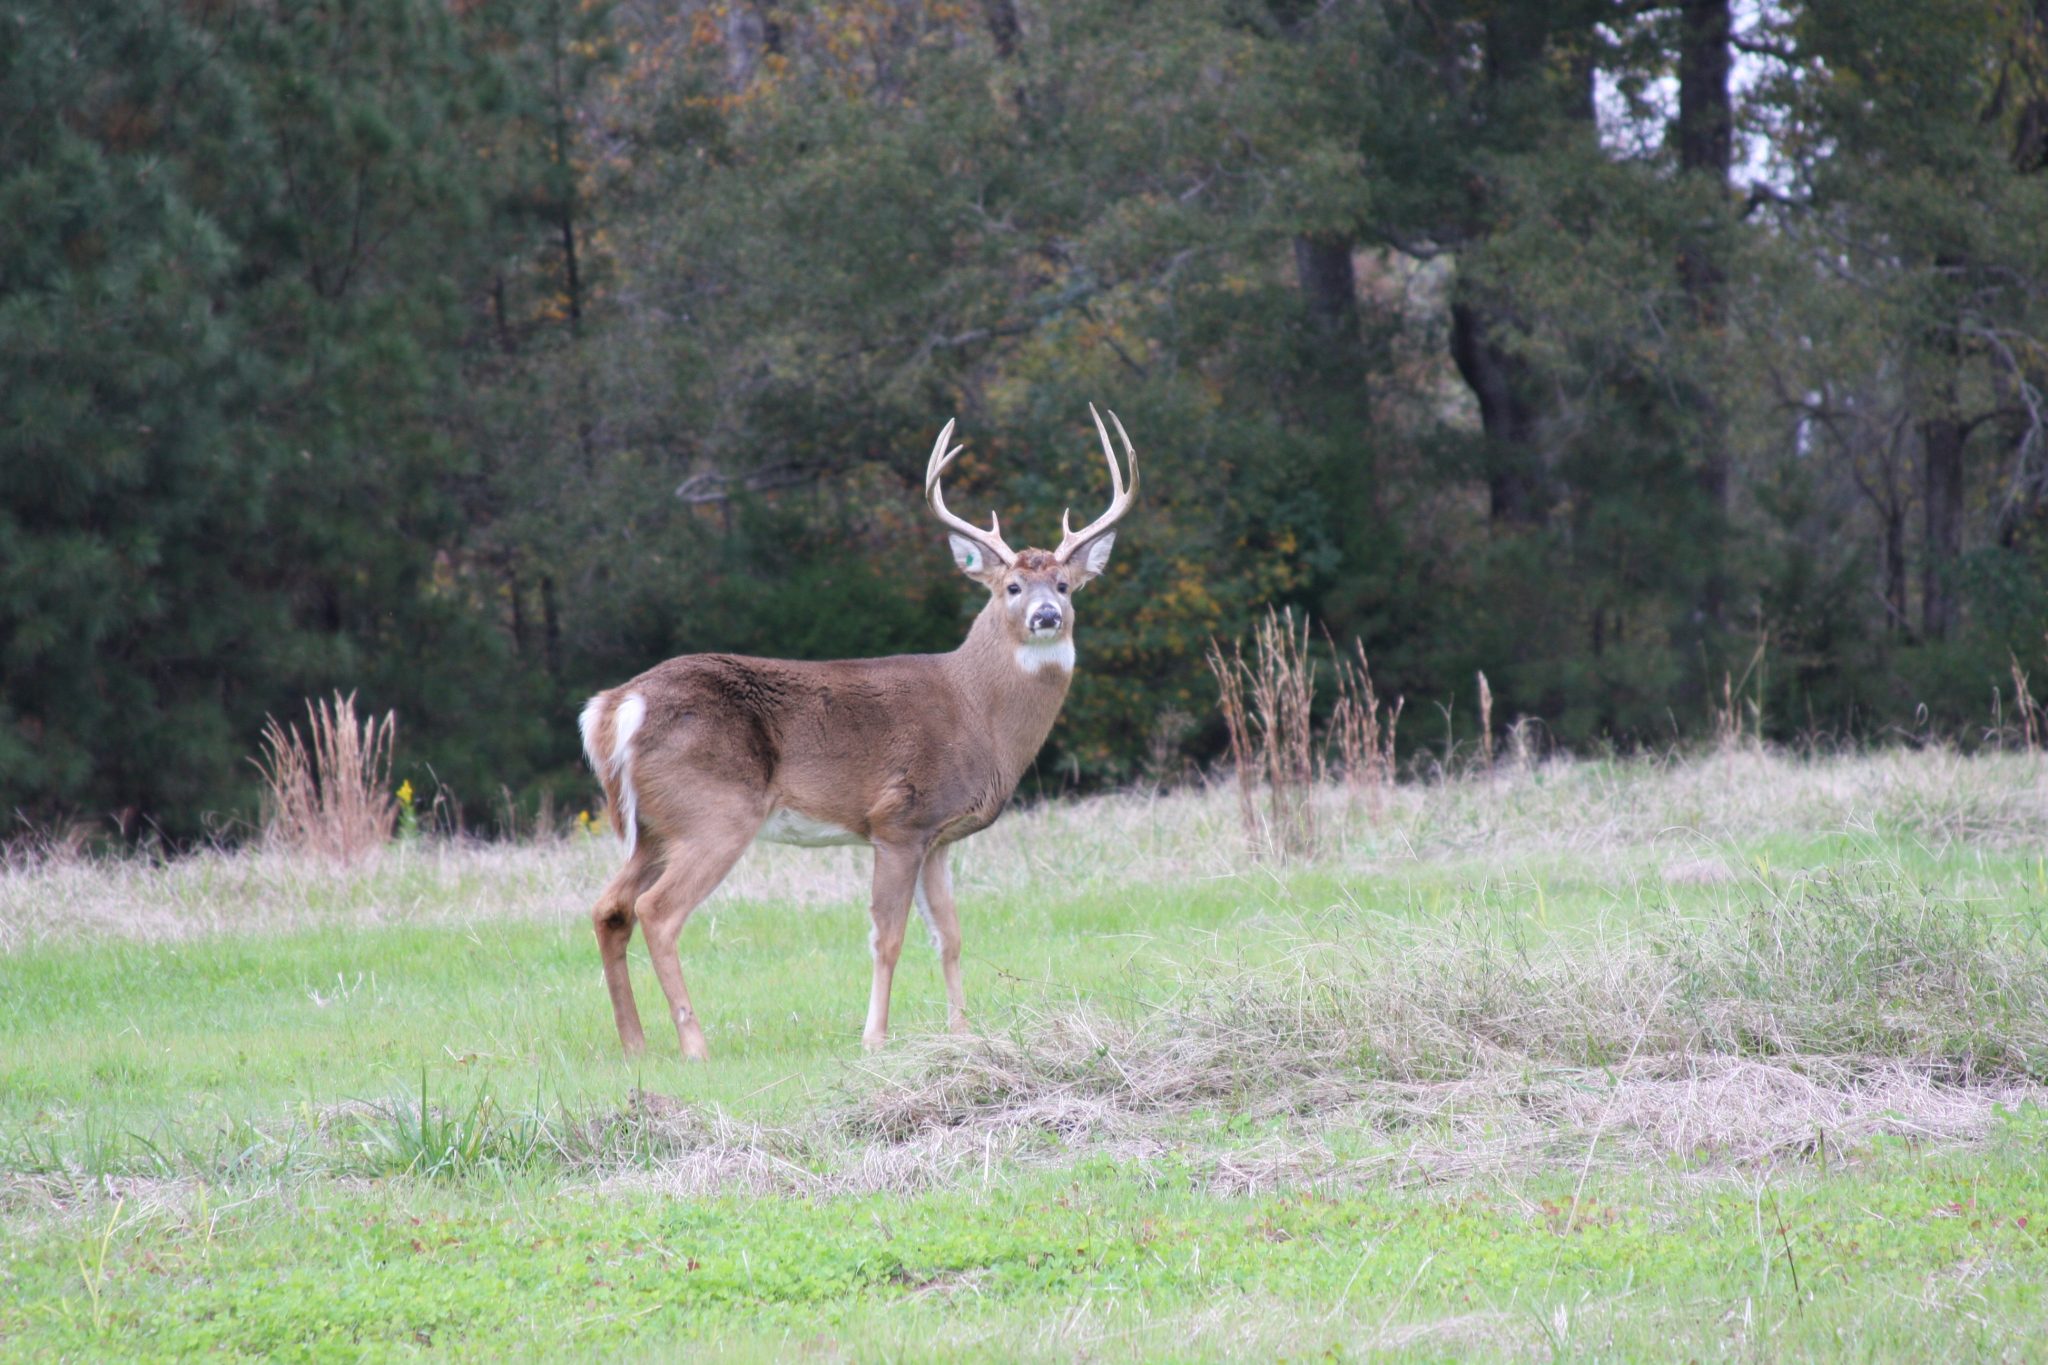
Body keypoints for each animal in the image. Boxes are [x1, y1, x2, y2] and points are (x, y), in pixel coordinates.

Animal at [576, 407, 1138, 1060]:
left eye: (1067, 586)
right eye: (1012, 588)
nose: (1046, 616)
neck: (979, 713)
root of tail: (616, 706)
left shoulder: (939, 837)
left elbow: (949, 934)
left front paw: (963, 1033)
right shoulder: (898, 820)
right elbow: (887, 936)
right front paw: (875, 1038)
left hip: (653, 826)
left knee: (610, 908)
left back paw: (634, 1045)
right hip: (714, 811)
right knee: (657, 911)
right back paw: (695, 1044)